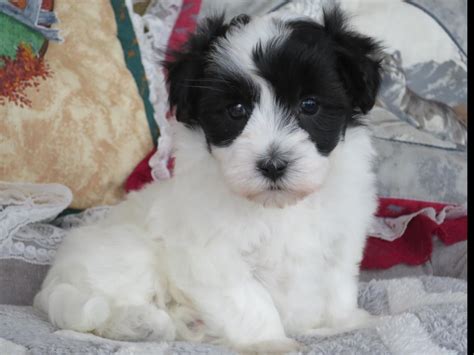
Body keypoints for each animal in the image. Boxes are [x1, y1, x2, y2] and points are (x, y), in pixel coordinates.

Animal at [34, 6, 382, 354]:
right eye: (236, 110)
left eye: (309, 105)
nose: (272, 165)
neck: (278, 207)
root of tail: (53, 282)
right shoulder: (214, 255)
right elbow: (251, 298)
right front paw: (271, 341)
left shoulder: (342, 237)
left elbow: (338, 282)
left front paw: (340, 323)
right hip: (125, 254)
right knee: (103, 309)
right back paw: (142, 323)